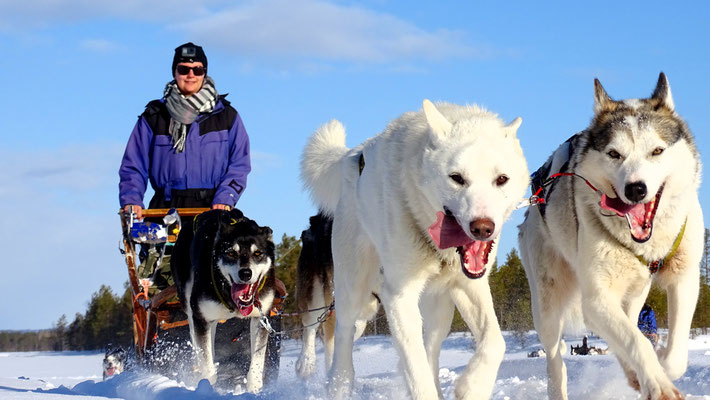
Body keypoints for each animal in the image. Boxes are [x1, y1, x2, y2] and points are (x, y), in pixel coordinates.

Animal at [174, 209, 280, 394]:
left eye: (257, 253)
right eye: (231, 253)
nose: (246, 273)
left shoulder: (260, 319)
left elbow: (256, 362)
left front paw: (254, 389)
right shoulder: (201, 318)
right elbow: (206, 364)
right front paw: (205, 387)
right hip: (191, 309)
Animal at [300, 99, 528, 396]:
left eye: (501, 179)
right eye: (456, 178)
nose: (482, 227)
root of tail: (353, 156)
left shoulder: (470, 286)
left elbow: (495, 342)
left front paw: (472, 386)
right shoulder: (400, 297)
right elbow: (416, 373)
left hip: (439, 311)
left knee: (431, 350)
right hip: (352, 291)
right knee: (342, 343)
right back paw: (337, 383)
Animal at [520, 72, 704, 400]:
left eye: (657, 151)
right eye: (614, 154)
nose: (636, 189)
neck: (648, 244)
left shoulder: (685, 278)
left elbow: (674, 355)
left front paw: (660, 369)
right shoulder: (596, 299)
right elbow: (637, 342)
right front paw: (657, 384)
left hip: (634, 292)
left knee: (627, 324)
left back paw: (633, 373)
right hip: (548, 305)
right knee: (555, 362)